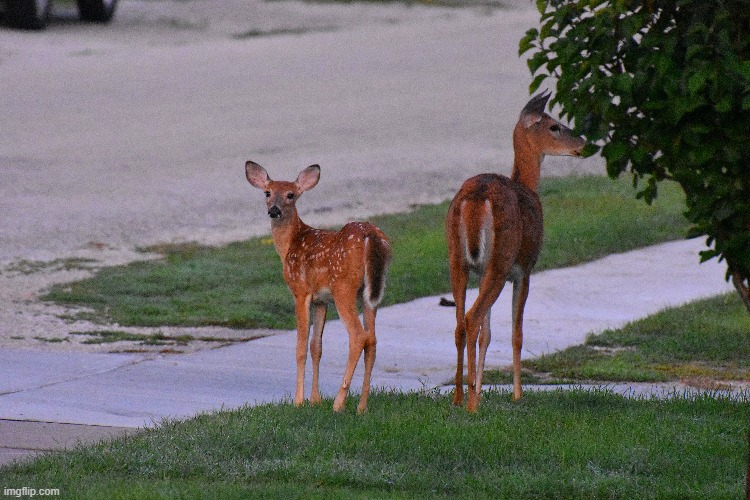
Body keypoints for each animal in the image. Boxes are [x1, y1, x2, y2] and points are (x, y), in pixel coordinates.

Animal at [245, 161, 392, 414]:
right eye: (267, 192)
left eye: (290, 195)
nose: (274, 210)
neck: (289, 245)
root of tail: (369, 235)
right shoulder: (321, 300)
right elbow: (316, 346)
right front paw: (315, 399)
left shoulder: (300, 291)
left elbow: (301, 347)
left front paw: (299, 401)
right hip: (371, 293)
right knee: (372, 339)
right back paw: (361, 406)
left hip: (344, 287)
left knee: (358, 336)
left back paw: (339, 402)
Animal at [446, 91, 586, 412]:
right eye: (554, 126)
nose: (583, 143)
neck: (528, 188)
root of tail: (477, 196)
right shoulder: (525, 270)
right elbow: (516, 334)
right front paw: (517, 394)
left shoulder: (481, 271)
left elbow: (487, 335)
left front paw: (480, 386)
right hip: (500, 260)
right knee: (471, 318)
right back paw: (472, 404)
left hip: (457, 259)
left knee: (460, 323)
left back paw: (459, 397)